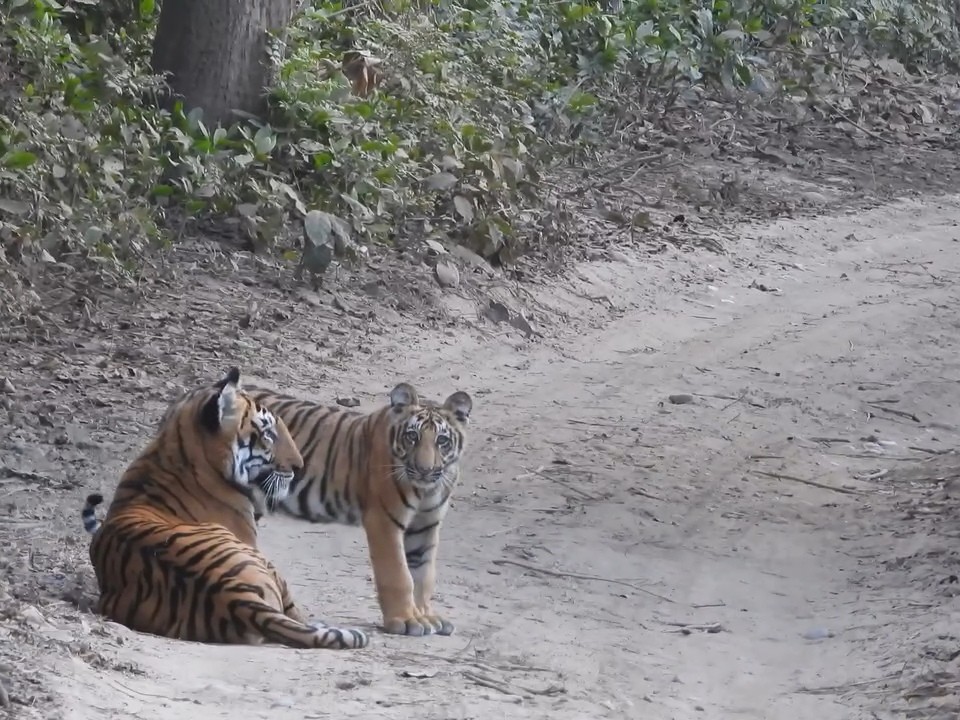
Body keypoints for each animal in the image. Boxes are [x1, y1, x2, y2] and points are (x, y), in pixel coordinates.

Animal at [244, 381, 473, 638]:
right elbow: (399, 574)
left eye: (442, 441)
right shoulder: (384, 520)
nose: (425, 470)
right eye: (412, 436)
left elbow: (423, 575)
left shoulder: (426, 525)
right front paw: (405, 620)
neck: (427, 489)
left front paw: (425, 616)